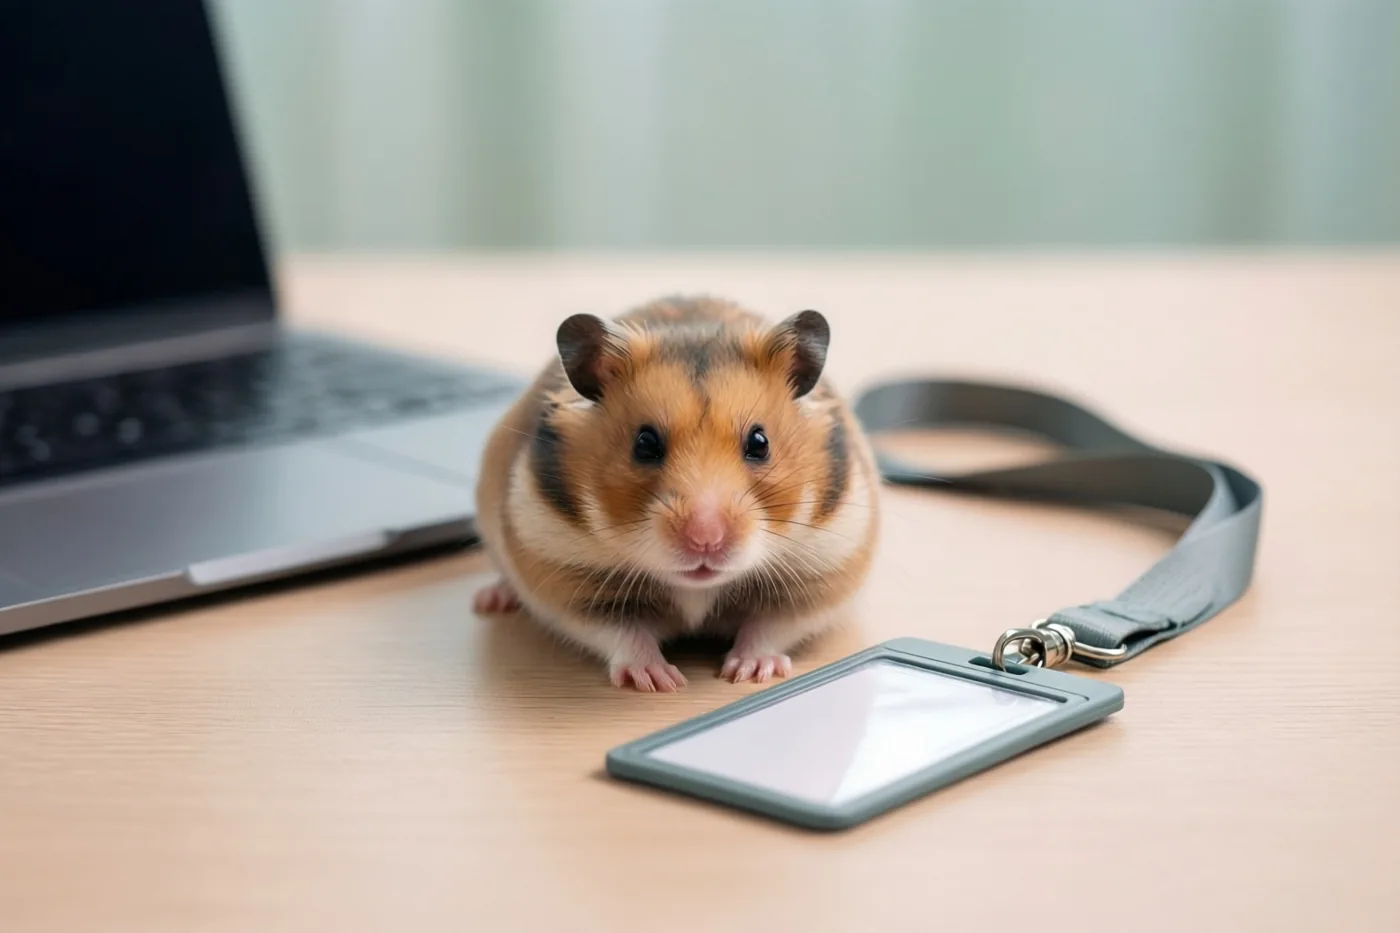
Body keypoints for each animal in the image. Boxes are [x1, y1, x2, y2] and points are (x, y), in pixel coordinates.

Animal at [472, 296, 880, 691]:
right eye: (644, 444)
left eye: (760, 443)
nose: (705, 541)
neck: (696, 588)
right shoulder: (563, 572)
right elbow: (621, 633)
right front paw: (660, 680)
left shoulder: (824, 567)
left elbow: (770, 627)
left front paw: (746, 671)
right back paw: (491, 601)